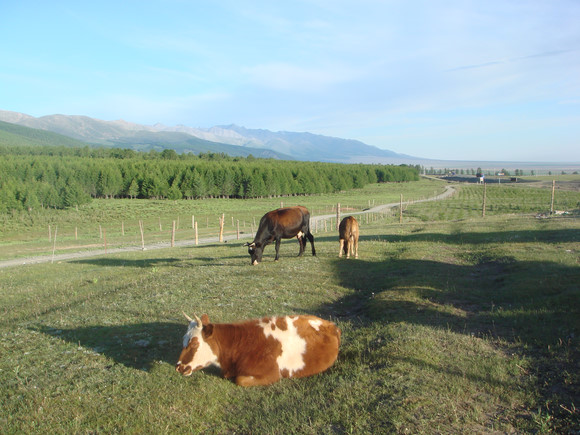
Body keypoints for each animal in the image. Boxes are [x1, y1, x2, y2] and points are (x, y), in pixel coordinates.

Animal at [176, 314, 340, 388]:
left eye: (194, 343)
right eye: (183, 339)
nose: (178, 367)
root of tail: (331, 324)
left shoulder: (272, 374)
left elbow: (240, 380)